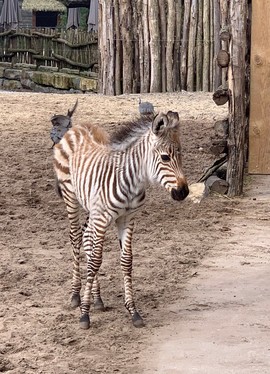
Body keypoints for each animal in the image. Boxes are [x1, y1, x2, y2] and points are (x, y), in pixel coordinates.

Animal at [53, 109, 190, 328]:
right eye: (165, 157)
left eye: (181, 154)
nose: (183, 192)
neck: (133, 182)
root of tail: (77, 126)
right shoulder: (102, 219)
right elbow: (95, 261)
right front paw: (84, 314)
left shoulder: (127, 218)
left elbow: (126, 261)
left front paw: (133, 311)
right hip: (70, 195)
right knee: (75, 238)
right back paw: (75, 296)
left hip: (92, 208)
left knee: (87, 239)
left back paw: (97, 299)